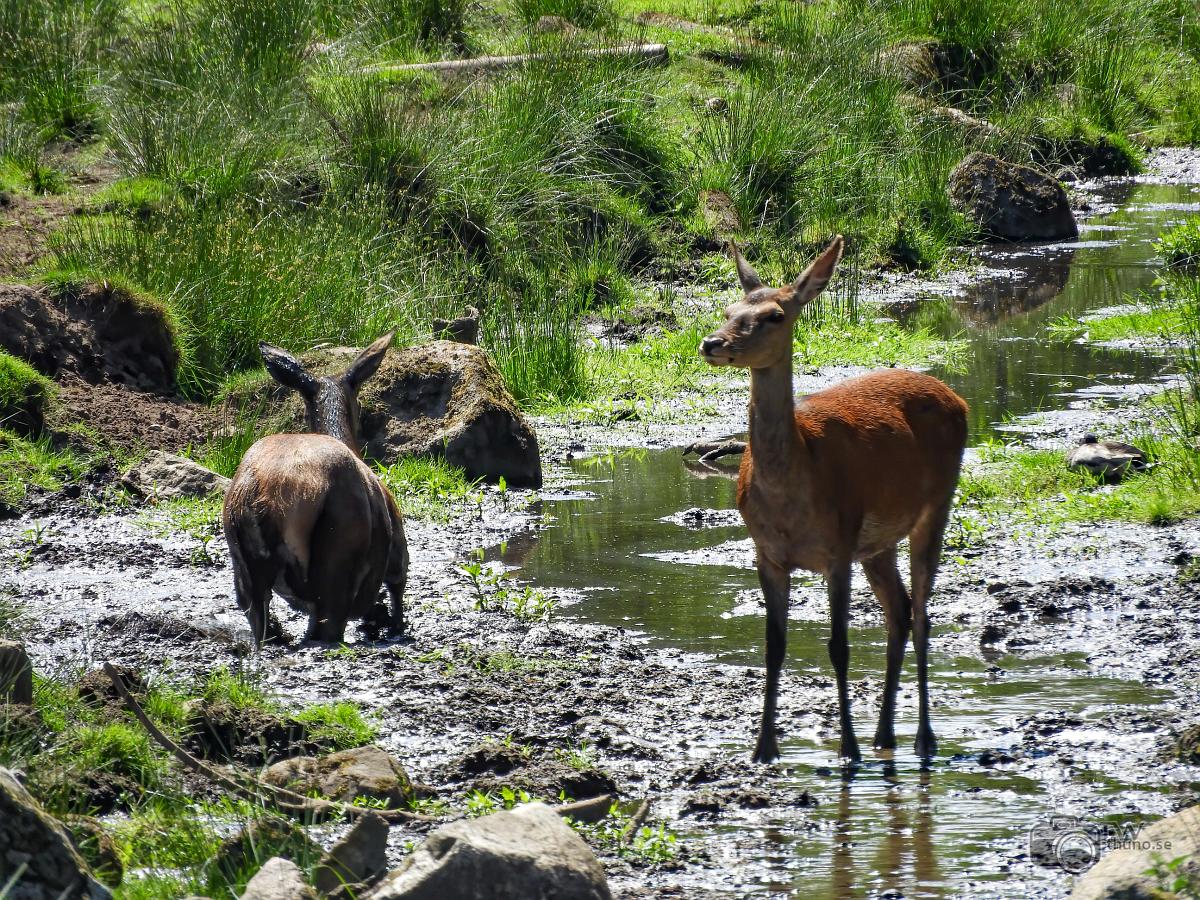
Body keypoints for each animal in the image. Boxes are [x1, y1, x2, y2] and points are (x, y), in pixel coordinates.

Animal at [223, 336, 410, 643]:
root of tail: (265, 500)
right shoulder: (397, 546)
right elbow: (397, 595)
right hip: (337, 552)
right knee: (327, 627)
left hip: (243, 567)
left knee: (258, 618)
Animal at [700, 237, 969, 763]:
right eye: (727, 309)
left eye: (774, 316)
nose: (712, 343)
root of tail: (957, 397)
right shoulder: (767, 554)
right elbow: (774, 647)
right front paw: (764, 749)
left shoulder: (839, 544)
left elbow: (838, 646)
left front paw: (848, 748)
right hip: (878, 542)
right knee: (899, 611)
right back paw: (884, 734)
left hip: (936, 503)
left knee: (922, 614)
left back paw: (922, 738)